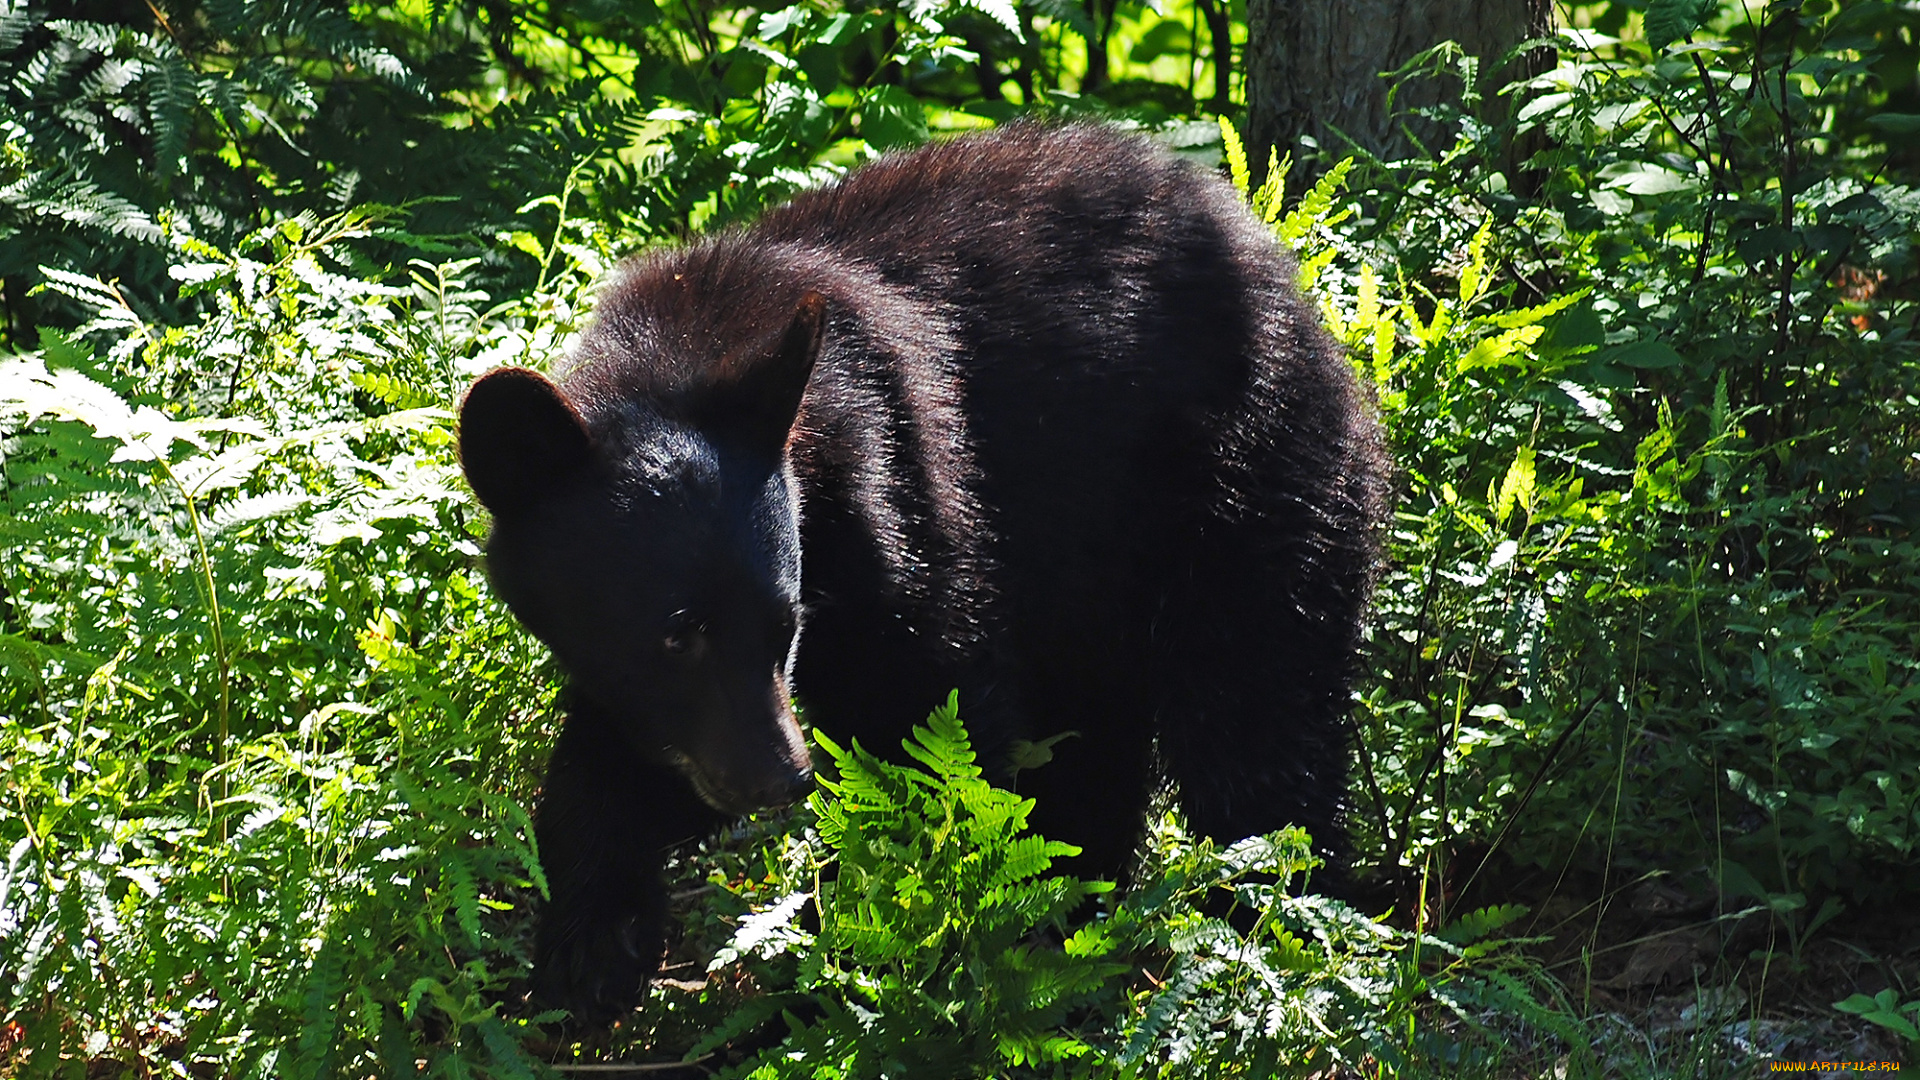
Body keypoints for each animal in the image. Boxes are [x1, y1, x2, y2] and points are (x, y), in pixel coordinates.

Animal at [464, 122, 1397, 1022]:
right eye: (676, 631)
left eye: (784, 623)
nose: (780, 777)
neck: (689, 345)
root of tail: (1291, 284)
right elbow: (623, 753)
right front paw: (590, 947)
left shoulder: (898, 491)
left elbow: (935, 723)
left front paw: (876, 965)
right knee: (1100, 740)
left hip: (1252, 484)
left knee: (1255, 724)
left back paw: (1264, 926)